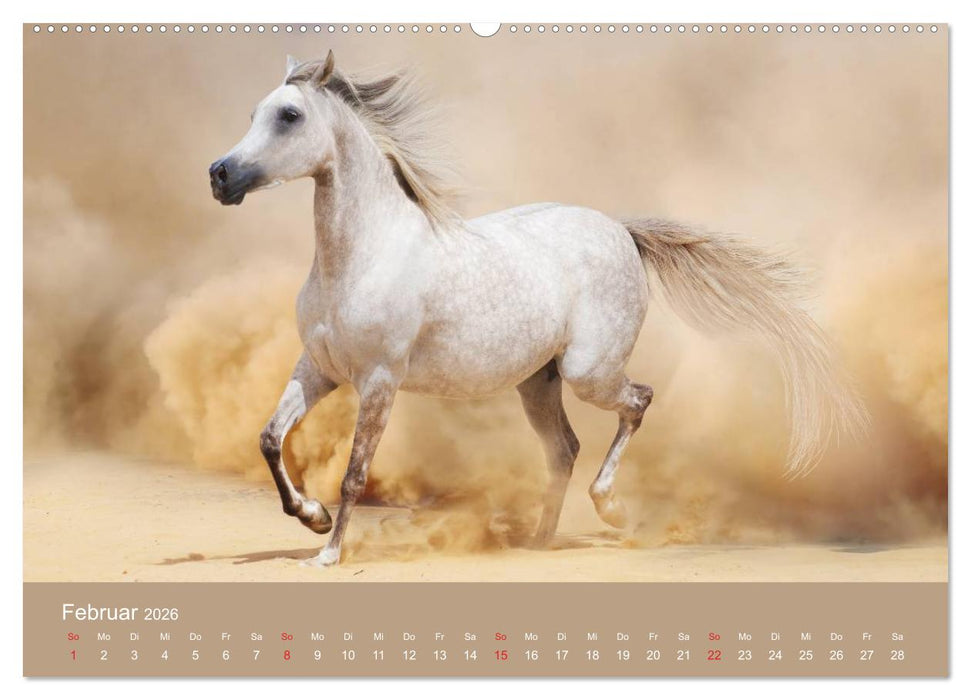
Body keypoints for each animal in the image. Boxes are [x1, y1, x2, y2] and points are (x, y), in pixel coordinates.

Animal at [208, 51, 868, 567]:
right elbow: (269, 439)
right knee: (565, 448)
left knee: (637, 403)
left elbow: (354, 471)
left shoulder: (378, 381)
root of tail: (621, 231)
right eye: (253, 114)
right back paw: (540, 540)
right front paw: (312, 517)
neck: (364, 254)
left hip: (587, 372)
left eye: (289, 116)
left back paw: (611, 510)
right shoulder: (319, 370)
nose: (220, 176)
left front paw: (328, 552)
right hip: (537, 382)